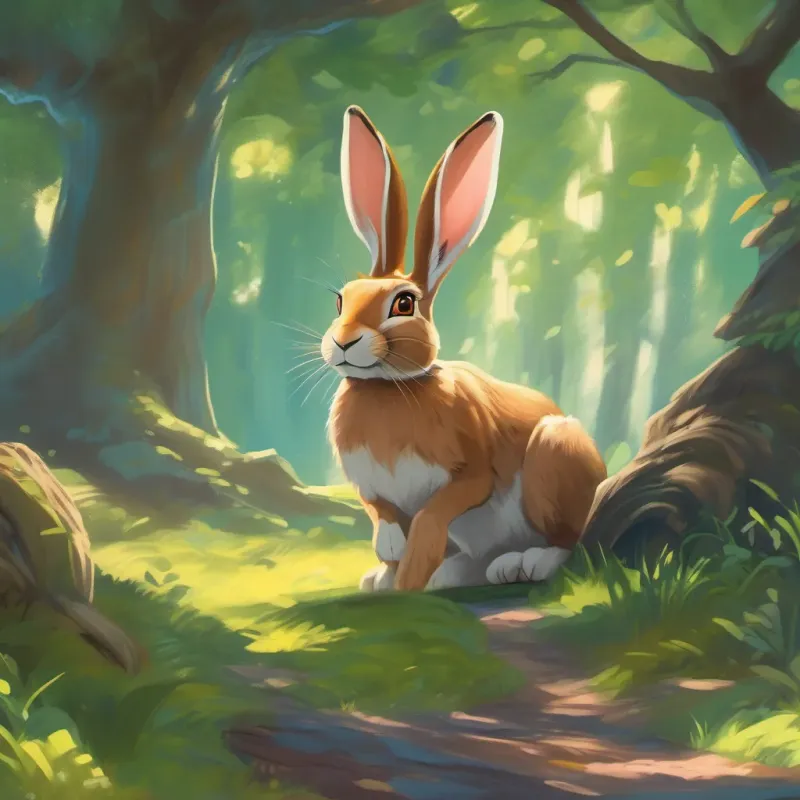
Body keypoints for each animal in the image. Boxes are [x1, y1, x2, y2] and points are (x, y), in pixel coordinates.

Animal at [321, 105, 607, 592]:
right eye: (342, 300)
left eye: (404, 303)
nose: (342, 341)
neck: (387, 387)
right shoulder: (374, 490)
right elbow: (382, 516)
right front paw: (389, 564)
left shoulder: (472, 473)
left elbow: (435, 514)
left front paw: (411, 574)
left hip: (554, 457)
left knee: (568, 541)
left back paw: (524, 564)